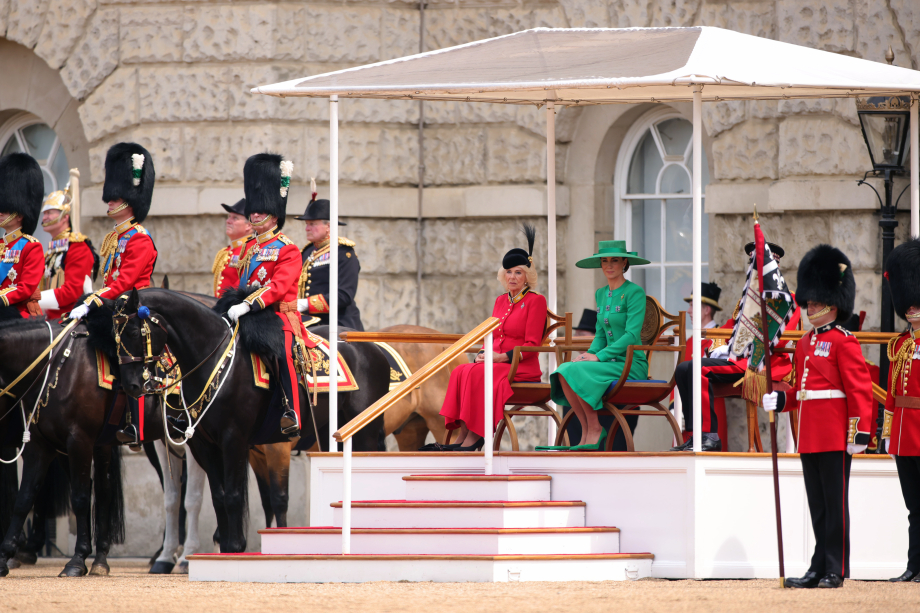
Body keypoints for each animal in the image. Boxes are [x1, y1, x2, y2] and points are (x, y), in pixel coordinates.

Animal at [0, 318, 125, 576]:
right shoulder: (40, 447)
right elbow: (24, 499)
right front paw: (4, 557)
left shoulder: (79, 439)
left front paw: (77, 560)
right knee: (99, 488)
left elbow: (79, 498)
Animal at [108, 290, 388, 552]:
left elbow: (234, 496)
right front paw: (224, 547)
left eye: (132, 331)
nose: (132, 386)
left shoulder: (234, 439)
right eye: (113, 336)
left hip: (365, 434)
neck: (212, 359)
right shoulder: (205, 444)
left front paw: (234, 547)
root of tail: (373, 347)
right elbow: (219, 497)